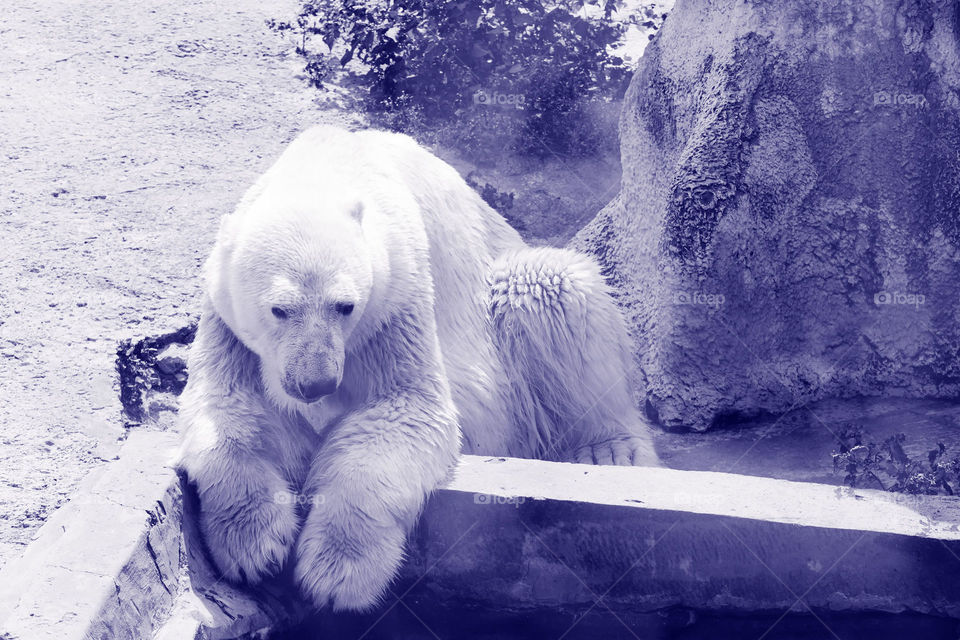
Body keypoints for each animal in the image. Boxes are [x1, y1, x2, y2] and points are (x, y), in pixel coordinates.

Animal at [176, 125, 658, 612]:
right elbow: (226, 407)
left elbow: (403, 410)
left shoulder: (394, 296)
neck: (324, 167)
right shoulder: (227, 319)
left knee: (551, 286)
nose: (316, 383)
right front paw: (254, 547)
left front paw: (336, 575)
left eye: (344, 306)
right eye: (280, 309)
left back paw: (609, 451)